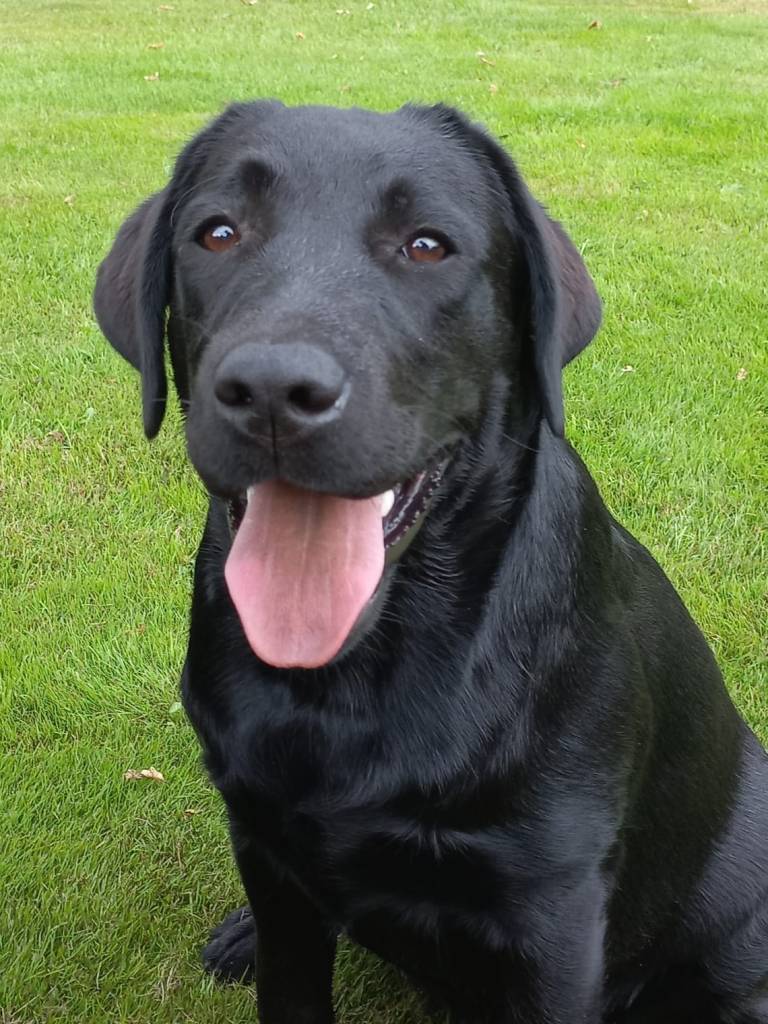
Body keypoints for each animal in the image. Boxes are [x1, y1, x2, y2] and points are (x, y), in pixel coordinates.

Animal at [93, 101, 768, 1023]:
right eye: (218, 233)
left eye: (426, 245)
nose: (272, 391)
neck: (350, 680)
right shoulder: (270, 852)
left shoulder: (553, 919)